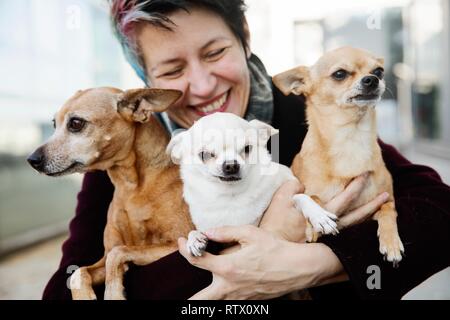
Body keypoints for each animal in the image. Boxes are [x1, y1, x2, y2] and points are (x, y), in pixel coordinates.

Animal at [27, 87, 194, 298]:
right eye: (54, 124)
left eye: (76, 123)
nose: (31, 160)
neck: (131, 187)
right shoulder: (103, 257)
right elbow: (77, 273)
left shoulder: (179, 242)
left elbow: (118, 253)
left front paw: (113, 294)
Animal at [272, 46, 406, 266]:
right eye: (340, 74)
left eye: (379, 71)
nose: (372, 79)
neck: (350, 138)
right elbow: (313, 196)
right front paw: (317, 221)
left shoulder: (385, 198)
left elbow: (388, 210)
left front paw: (391, 243)